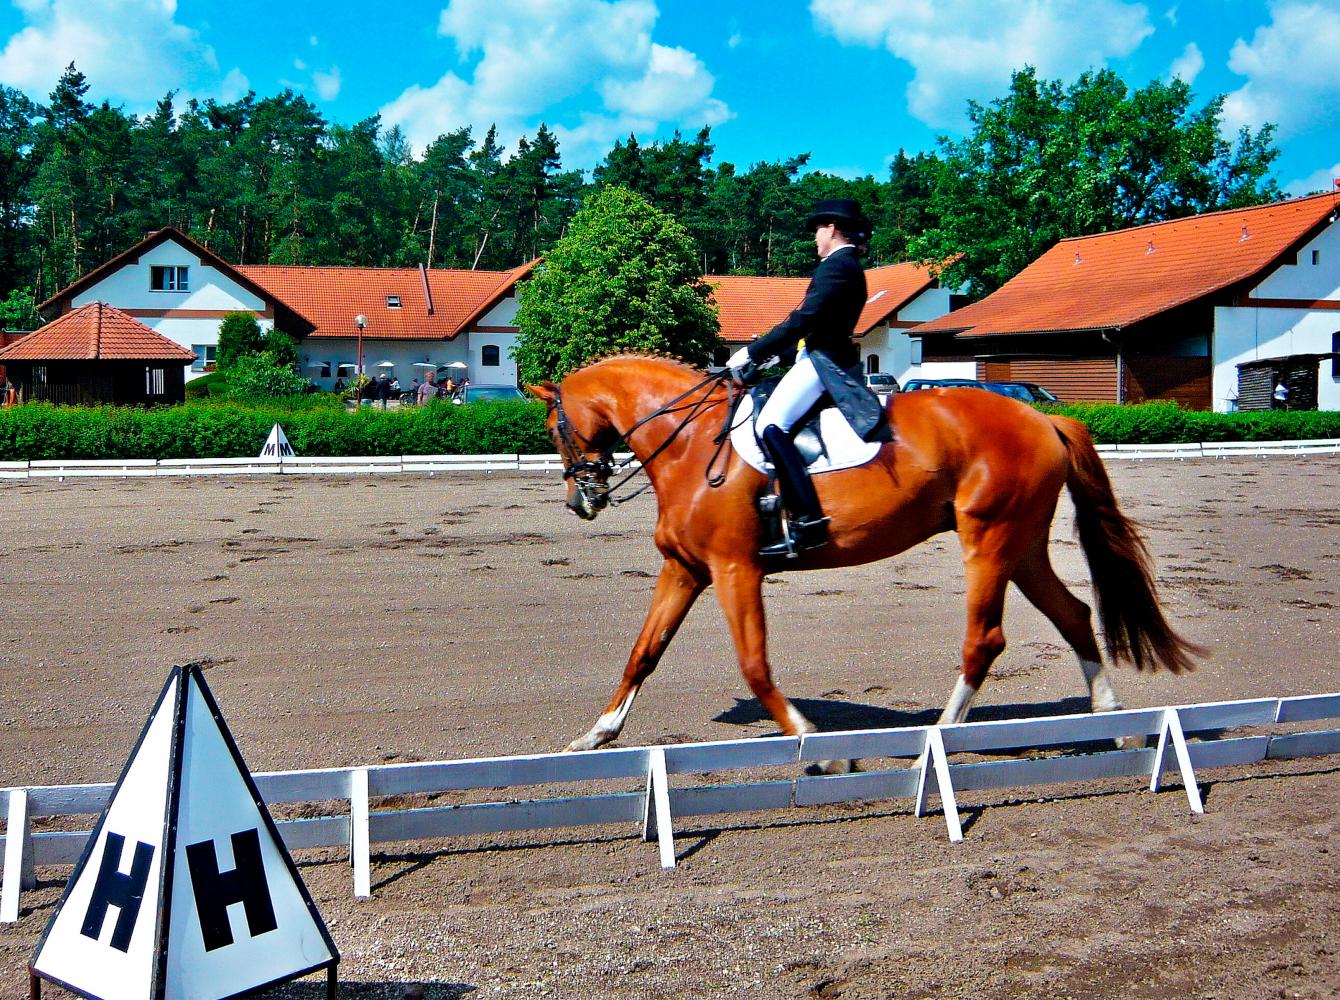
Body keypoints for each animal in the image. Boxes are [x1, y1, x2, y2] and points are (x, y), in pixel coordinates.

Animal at [525, 353, 1206, 761]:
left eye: (555, 429)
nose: (581, 501)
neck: (690, 444)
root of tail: (1041, 417)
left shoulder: (734, 569)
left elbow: (754, 665)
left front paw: (812, 743)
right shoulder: (686, 569)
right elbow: (644, 653)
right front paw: (596, 734)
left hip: (989, 538)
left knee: (985, 637)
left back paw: (941, 735)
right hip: (1022, 545)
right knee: (1072, 614)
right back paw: (1109, 721)